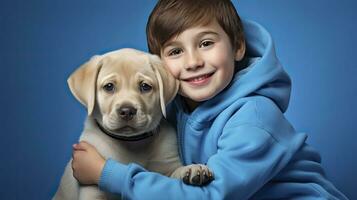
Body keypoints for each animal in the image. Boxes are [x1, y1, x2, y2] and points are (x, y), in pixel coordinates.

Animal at [53, 48, 211, 200]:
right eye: (109, 87)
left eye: (145, 86)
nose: (127, 111)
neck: (132, 143)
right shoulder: (91, 189)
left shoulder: (167, 169)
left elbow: (174, 174)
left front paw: (192, 168)